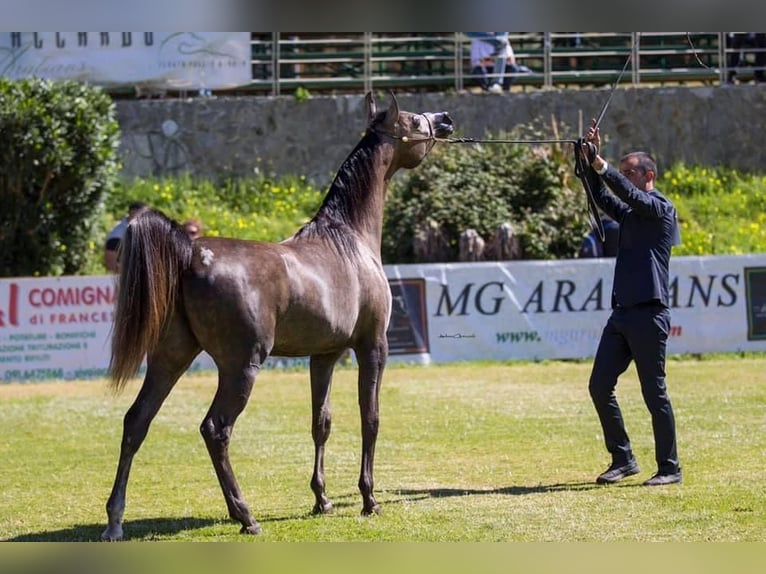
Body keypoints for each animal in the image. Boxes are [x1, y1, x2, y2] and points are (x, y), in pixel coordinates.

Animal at [99, 92, 452, 544]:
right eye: (413, 121)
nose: (444, 119)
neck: (349, 238)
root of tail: (190, 252)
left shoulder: (325, 354)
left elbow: (322, 421)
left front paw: (322, 499)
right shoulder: (373, 346)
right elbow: (369, 418)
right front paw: (369, 499)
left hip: (170, 359)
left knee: (136, 422)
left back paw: (115, 521)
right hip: (240, 367)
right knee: (215, 429)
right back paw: (245, 516)